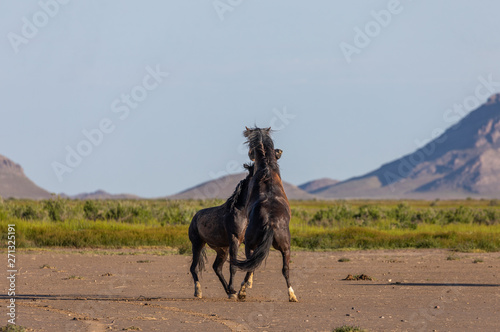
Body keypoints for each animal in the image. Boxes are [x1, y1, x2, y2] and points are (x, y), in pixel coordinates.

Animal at [189, 149, 284, 300]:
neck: (242, 211)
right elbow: (233, 266)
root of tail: (195, 217)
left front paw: (244, 286)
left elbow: (250, 262)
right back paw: (199, 292)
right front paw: (237, 289)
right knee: (194, 267)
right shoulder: (235, 239)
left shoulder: (248, 241)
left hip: (222, 249)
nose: (279, 151)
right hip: (198, 244)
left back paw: (229, 292)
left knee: (217, 268)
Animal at [233, 127, 298, 304]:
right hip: (286, 248)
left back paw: (242, 291)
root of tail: (271, 222)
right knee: (285, 269)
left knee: (251, 265)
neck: (267, 170)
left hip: (249, 244)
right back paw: (292, 295)